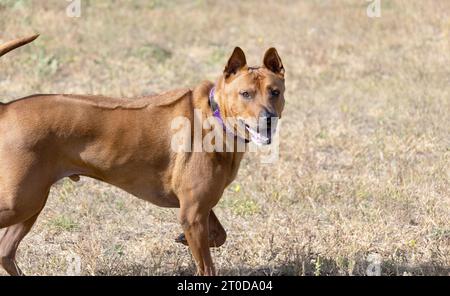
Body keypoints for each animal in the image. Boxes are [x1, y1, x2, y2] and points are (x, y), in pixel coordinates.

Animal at [0, 34, 284, 276]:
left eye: (275, 92)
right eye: (245, 94)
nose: (268, 119)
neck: (214, 115)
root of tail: (6, 108)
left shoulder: (196, 208)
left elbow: (220, 235)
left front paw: (182, 239)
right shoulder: (192, 214)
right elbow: (207, 267)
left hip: (32, 203)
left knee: (5, 252)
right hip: (22, 201)